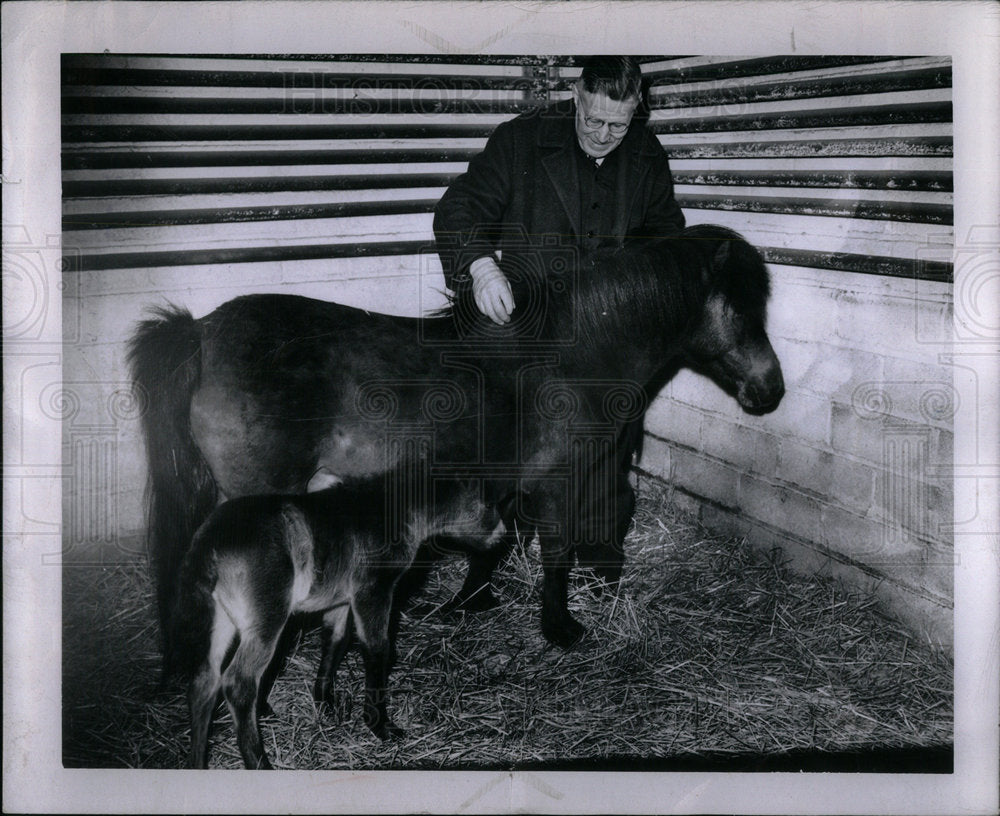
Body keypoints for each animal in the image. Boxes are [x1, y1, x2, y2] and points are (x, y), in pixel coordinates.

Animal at [129, 223, 780, 652]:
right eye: (740, 308)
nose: (770, 388)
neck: (567, 358)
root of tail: (202, 332)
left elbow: (493, 544)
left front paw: (468, 603)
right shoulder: (557, 484)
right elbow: (556, 553)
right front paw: (561, 629)